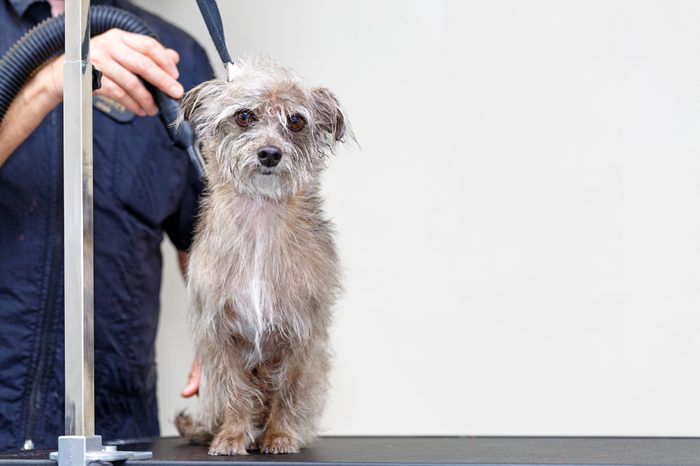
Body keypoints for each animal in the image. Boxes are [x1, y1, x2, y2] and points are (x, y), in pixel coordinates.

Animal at [174, 58, 348, 456]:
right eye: (244, 116)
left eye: (295, 121)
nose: (270, 153)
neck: (260, 217)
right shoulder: (220, 335)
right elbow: (237, 393)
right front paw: (233, 436)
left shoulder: (301, 337)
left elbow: (287, 392)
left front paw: (280, 436)